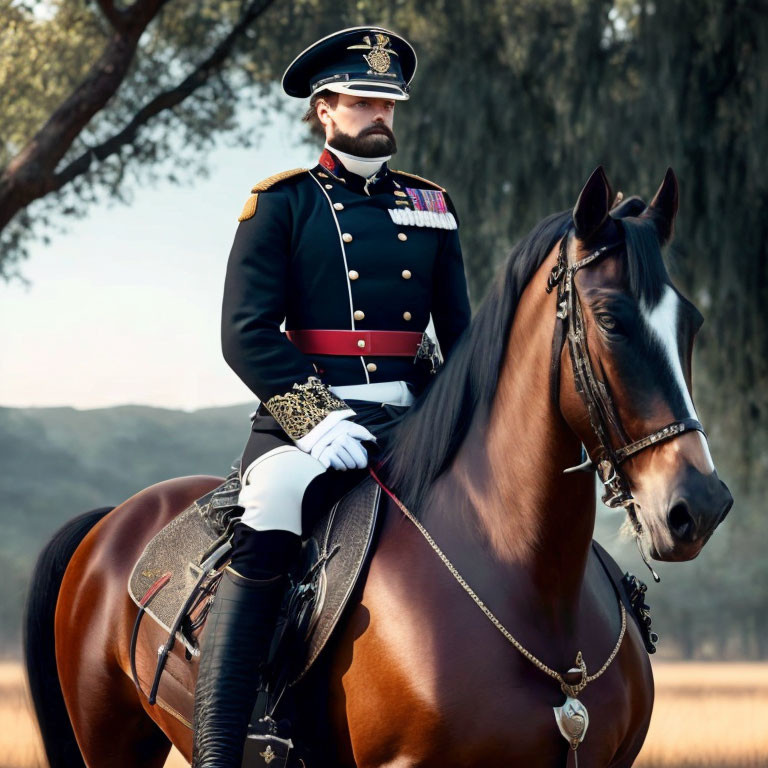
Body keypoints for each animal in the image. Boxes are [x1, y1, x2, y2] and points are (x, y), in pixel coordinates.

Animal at [24, 165, 732, 764]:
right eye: (611, 320)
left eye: (694, 324)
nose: (699, 507)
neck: (525, 576)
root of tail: (117, 517)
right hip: (110, 741)